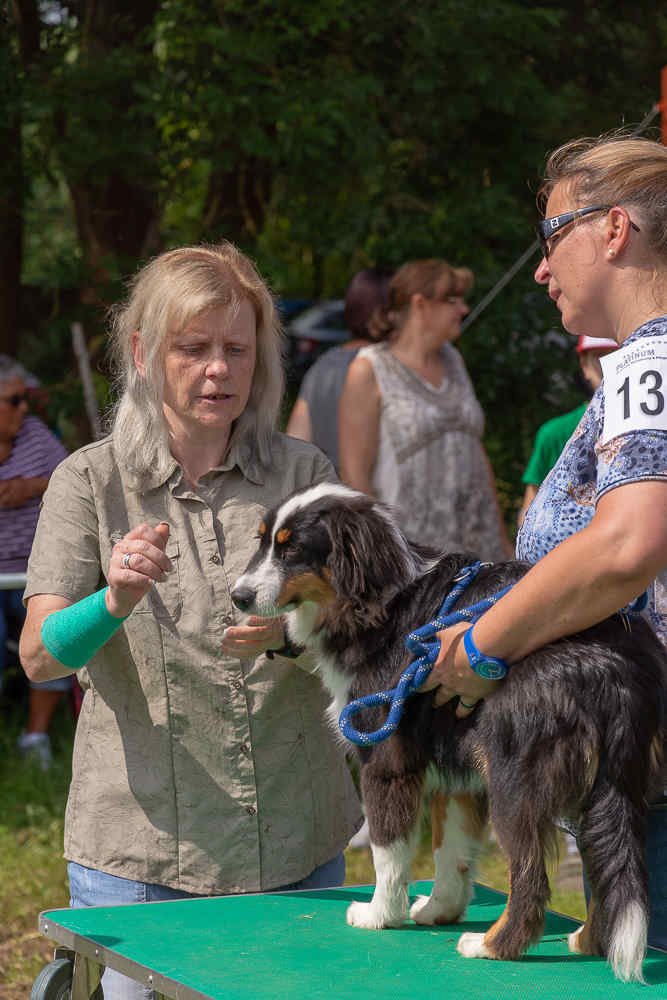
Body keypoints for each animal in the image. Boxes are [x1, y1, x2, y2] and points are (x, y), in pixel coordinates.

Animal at [232, 484, 664, 984]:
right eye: (264, 541)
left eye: (292, 549)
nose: (237, 596)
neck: (381, 605)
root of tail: (607, 662)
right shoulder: (457, 770)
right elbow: (449, 853)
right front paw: (439, 909)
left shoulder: (385, 758)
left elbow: (388, 851)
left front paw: (380, 914)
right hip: (605, 788)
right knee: (605, 861)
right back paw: (590, 941)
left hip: (515, 781)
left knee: (532, 878)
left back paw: (493, 945)